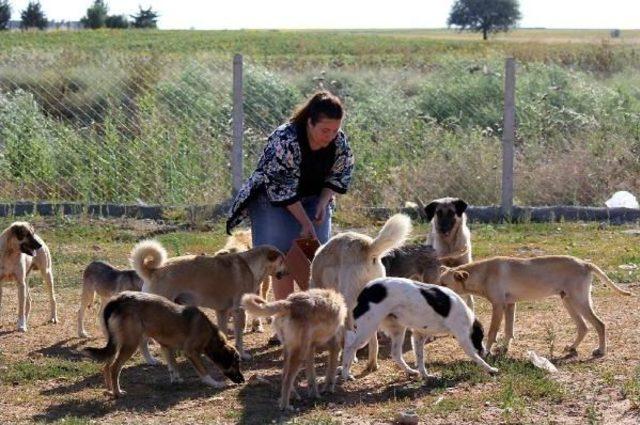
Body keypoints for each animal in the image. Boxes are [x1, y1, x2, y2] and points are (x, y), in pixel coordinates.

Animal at [84, 290, 244, 396]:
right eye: (236, 363)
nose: (242, 380)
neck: (210, 334)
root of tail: (118, 300)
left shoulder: (166, 347)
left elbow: (173, 366)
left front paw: (176, 380)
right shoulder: (191, 352)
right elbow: (203, 371)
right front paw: (215, 383)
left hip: (116, 342)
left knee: (106, 365)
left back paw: (109, 389)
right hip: (130, 343)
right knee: (114, 368)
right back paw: (117, 392)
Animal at [131, 238, 286, 362]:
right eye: (283, 260)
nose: (288, 272)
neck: (251, 265)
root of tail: (152, 272)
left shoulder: (222, 312)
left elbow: (224, 333)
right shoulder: (239, 312)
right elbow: (239, 337)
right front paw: (242, 354)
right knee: (142, 342)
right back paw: (151, 360)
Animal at [340, 276, 500, 380]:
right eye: (480, 337)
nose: (485, 352)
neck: (467, 316)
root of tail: (366, 289)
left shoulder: (418, 335)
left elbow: (420, 357)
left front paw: (424, 375)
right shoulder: (464, 339)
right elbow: (476, 358)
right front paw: (490, 369)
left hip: (398, 330)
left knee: (395, 354)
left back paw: (410, 371)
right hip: (366, 330)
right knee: (349, 347)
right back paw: (345, 374)